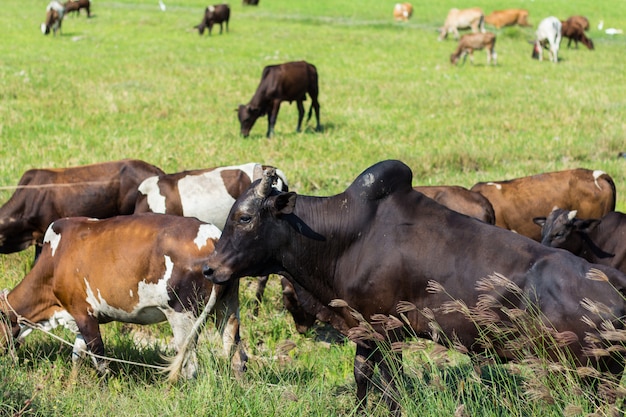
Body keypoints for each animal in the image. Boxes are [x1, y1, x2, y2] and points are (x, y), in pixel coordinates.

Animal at [0, 213, 247, 378]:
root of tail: (212, 235)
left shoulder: (83, 312)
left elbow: (99, 359)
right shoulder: (80, 317)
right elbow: (77, 355)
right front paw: (72, 384)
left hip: (182, 315)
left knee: (190, 365)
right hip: (228, 307)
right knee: (236, 354)